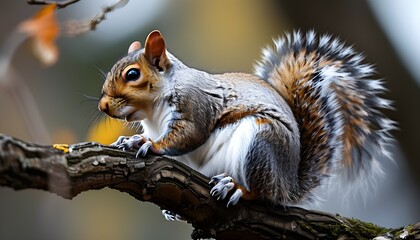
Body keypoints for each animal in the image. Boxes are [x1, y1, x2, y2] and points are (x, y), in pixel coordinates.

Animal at [97, 29, 394, 208]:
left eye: (133, 74)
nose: (103, 106)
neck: (153, 112)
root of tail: (288, 185)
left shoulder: (195, 105)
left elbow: (187, 135)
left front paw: (147, 144)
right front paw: (132, 139)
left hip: (261, 141)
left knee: (262, 194)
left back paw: (237, 188)